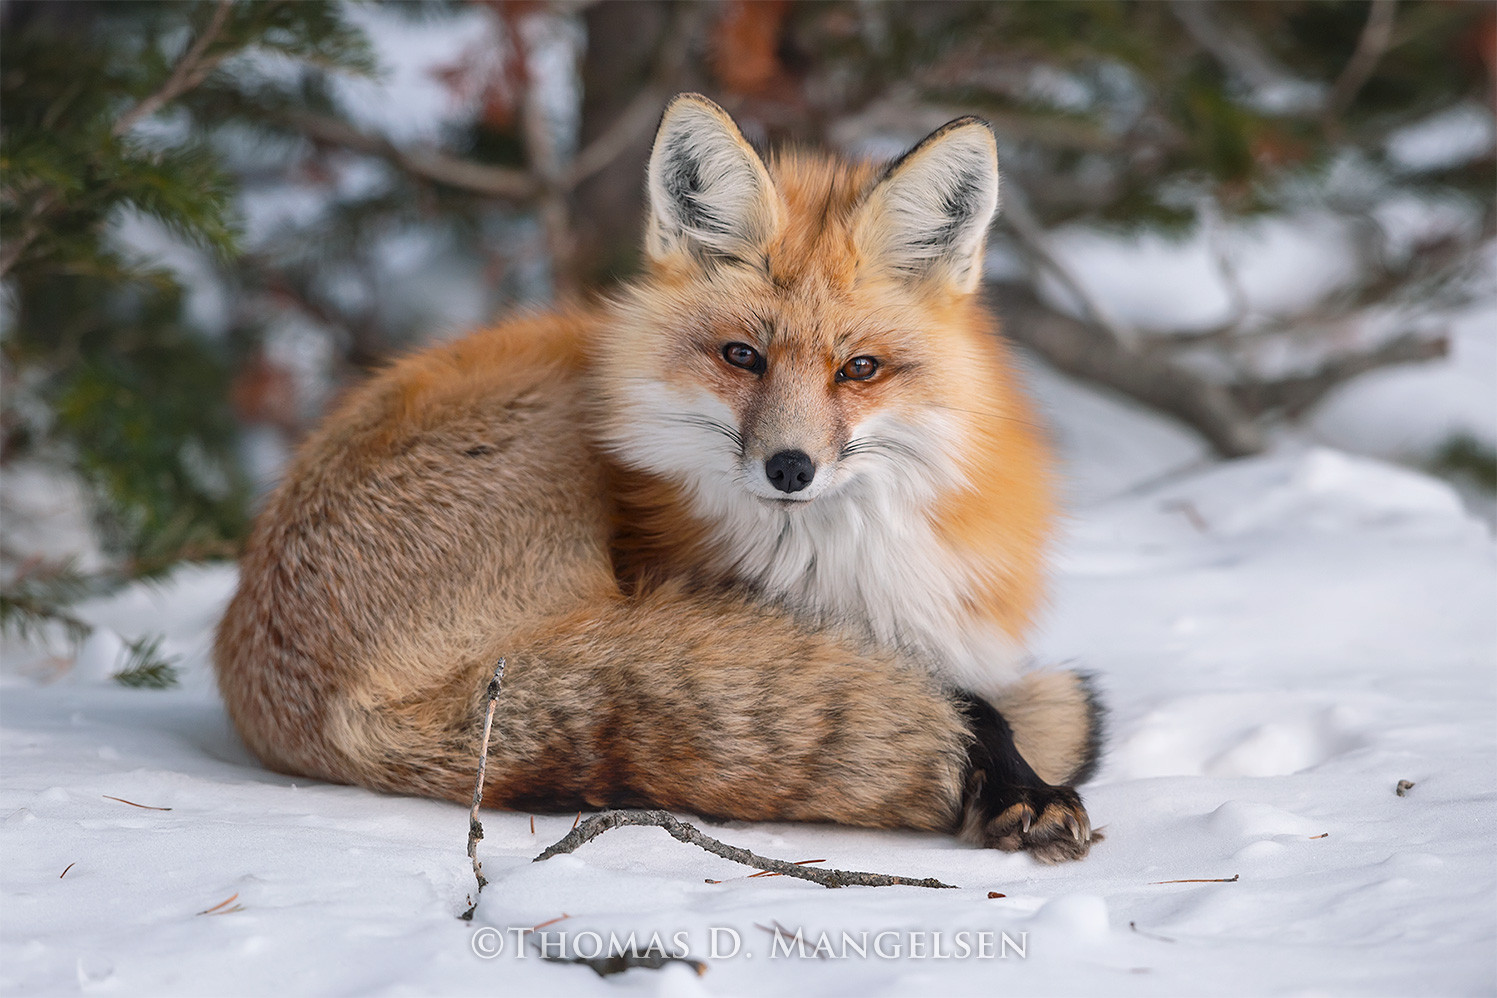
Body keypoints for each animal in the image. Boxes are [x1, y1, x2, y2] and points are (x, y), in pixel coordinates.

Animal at [214, 93, 1104, 863]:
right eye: (741, 355)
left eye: (859, 369)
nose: (789, 468)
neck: (835, 563)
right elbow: (964, 699)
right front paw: (1021, 781)